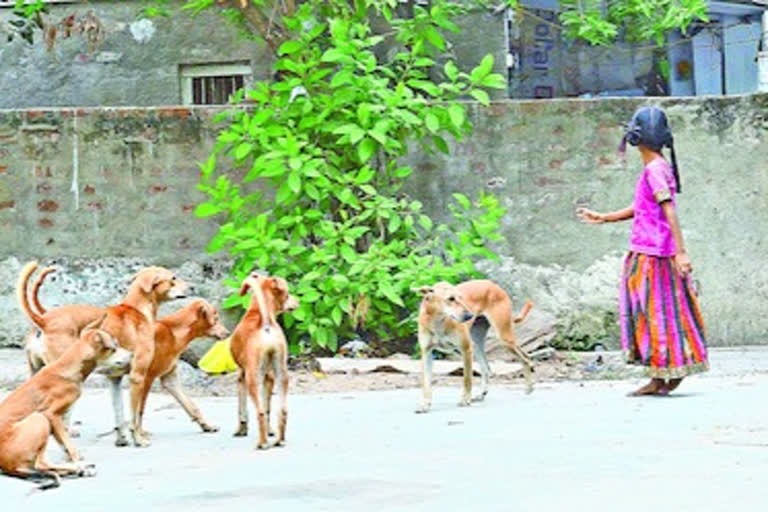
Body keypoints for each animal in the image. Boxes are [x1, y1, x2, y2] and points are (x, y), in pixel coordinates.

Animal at [0, 316, 117, 488]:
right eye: (114, 348)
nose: (131, 356)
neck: (68, 366)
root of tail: (7, 466)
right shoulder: (51, 415)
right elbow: (68, 444)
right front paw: (77, 460)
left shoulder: (58, 421)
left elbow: (64, 444)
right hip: (39, 418)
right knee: (41, 464)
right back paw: (80, 467)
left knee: (45, 467)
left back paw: (79, 469)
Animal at [18, 262, 189, 446]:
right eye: (173, 278)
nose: (192, 287)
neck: (137, 310)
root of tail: (44, 320)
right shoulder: (138, 377)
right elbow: (135, 416)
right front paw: (138, 439)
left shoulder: (115, 380)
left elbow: (119, 411)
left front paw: (122, 439)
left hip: (36, 374)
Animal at [228, 272, 296, 448]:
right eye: (287, 293)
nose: (297, 302)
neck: (257, 311)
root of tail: (265, 325)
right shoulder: (270, 377)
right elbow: (268, 408)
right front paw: (270, 430)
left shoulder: (241, 376)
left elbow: (242, 409)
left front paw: (241, 430)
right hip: (282, 375)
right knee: (281, 410)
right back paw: (279, 440)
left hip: (252, 379)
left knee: (259, 411)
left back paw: (262, 443)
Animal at [414, 278, 536, 414]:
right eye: (451, 298)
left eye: (461, 297)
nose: (469, 316)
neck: (438, 321)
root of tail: (493, 284)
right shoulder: (427, 353)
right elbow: (426, 384)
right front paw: (425, 404)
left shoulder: (466, 349)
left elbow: (467, 379)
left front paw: (465, 399)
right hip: (478, 344)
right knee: (487, 368)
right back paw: (482, 394)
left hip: (503, 337)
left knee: (524, 359)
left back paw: (529, 387)